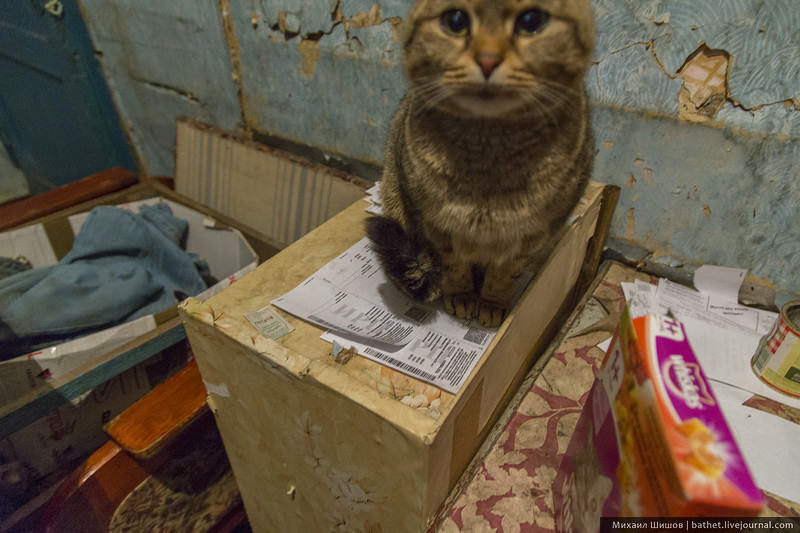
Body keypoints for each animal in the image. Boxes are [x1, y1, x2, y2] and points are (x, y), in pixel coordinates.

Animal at [368, 0, 592, 324]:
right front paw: (462, 297)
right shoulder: (435, 225)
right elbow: (453, 269)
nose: (487, 60)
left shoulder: (532, 236)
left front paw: (490, 304)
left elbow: (503, 276)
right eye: (456, 21)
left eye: (532, 21)